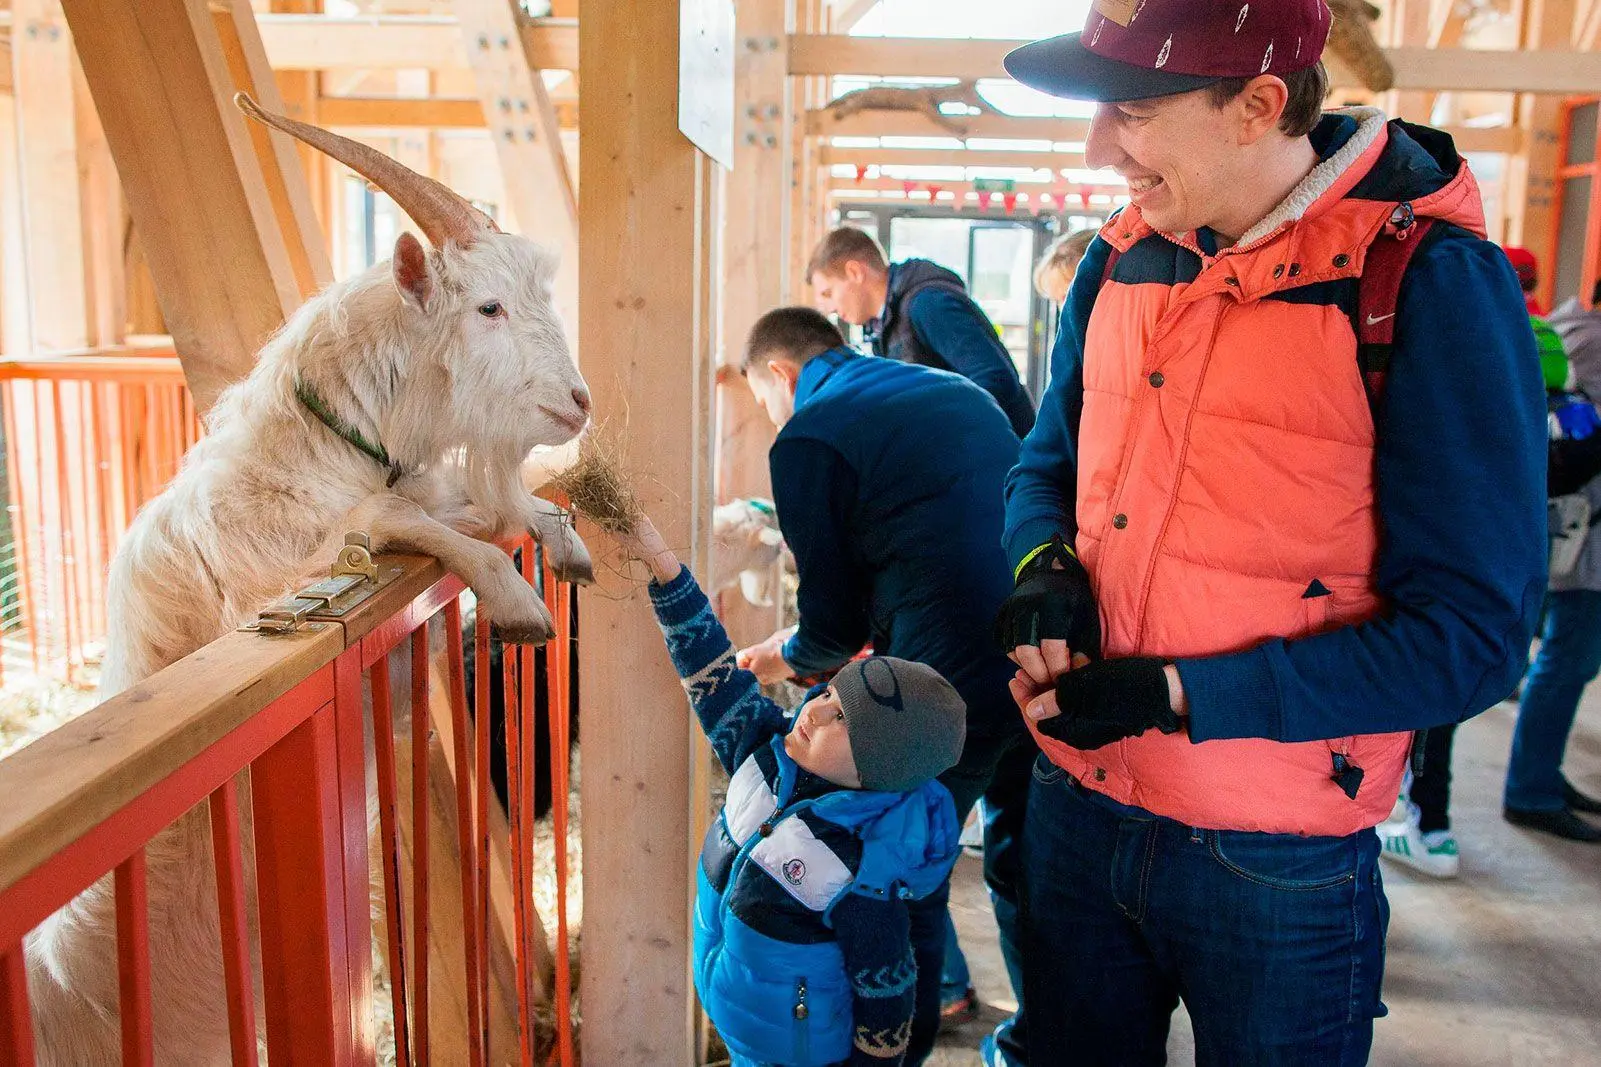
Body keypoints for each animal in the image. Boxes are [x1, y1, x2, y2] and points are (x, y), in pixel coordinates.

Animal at [23, 94, 593, 1066]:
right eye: (488, 305)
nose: (578, 403)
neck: (311, 452)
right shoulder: (296, 579)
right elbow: (411, 525)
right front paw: (519, 601)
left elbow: (474, 515)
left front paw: (559, 541)